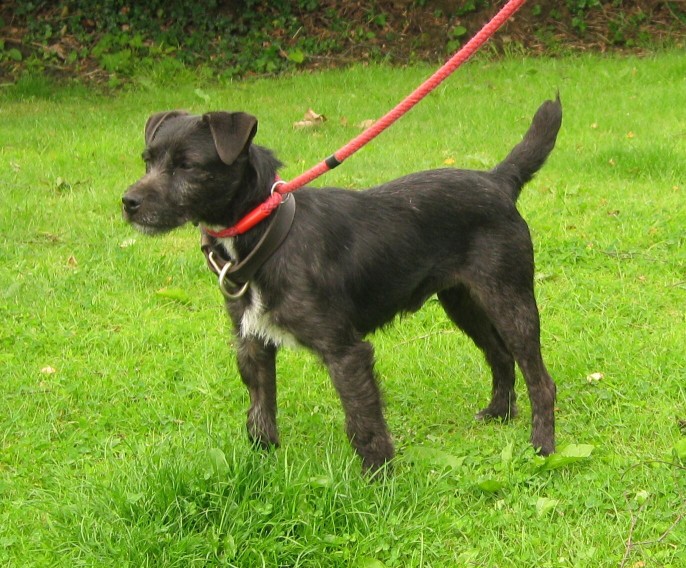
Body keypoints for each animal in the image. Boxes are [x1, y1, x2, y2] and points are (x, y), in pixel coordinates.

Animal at [123, 96, 564, 470]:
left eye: (187, 166)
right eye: (147, 161)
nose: (128, 202)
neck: (269, 232)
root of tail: (498, 181)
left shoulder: (346, 352)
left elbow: (362, 420)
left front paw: (379, 480)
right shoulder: (253, 344)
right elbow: (260, 411)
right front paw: (261, 467)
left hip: (510, 300)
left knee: (540, 380)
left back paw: (542, 445)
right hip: (463, 302)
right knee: (500, 356)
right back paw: (499, 413)